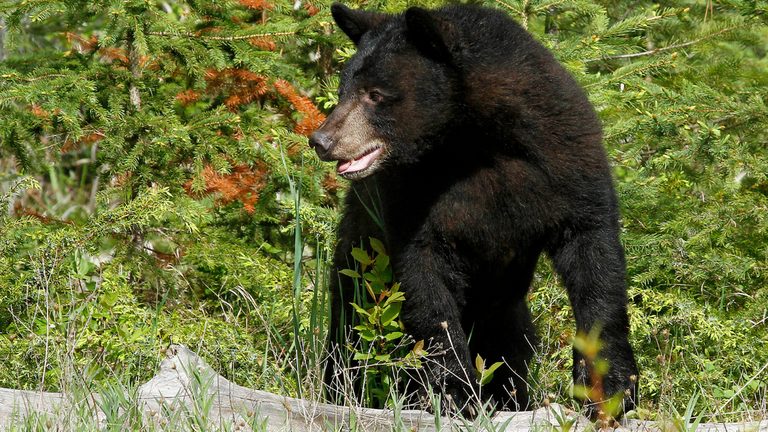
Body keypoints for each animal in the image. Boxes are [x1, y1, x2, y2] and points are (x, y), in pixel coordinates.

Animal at [310, 3, 639, 417]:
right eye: (344, 90)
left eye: (376, 94)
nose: (322, 139)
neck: (473, 142)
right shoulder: (410, 195)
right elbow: (425, 279)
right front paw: (458, 394)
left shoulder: (564, 161)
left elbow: (594, 258)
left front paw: (611, 388)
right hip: (360, 262)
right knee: (350, 330)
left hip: (504, 311)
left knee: (511, 347)